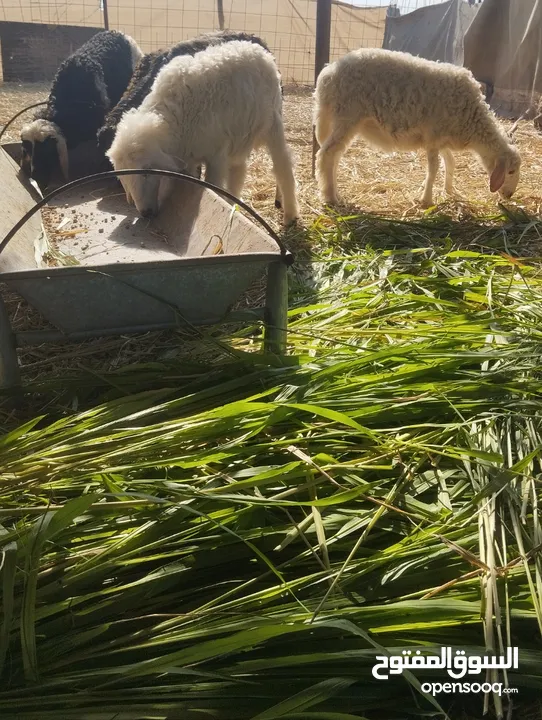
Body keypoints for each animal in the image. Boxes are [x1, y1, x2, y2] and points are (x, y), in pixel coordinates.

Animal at [107, 40, 300, 225]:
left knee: (283, 165)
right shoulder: (189, 159)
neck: (176, 119)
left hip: (273, 122)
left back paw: (290, 213)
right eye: (124, 177)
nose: (145, 213)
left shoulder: (216, 156)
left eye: (147, 171)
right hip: (240, 134)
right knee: (238, 170)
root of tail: (257, 49)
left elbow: (214, 188)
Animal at [314, 48, 524, 208]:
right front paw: (426, 200)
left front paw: (449, 190)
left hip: (342, 120)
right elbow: (434, 169)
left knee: (334, 155)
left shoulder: (441, 139)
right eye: (511, 171)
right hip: (347, 115)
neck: (472, 120)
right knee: (327, 154)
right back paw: (330, 198)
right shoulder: (433, 136)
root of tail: (327, 73)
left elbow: (450, 162)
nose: (509, 196)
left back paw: (333, 192)